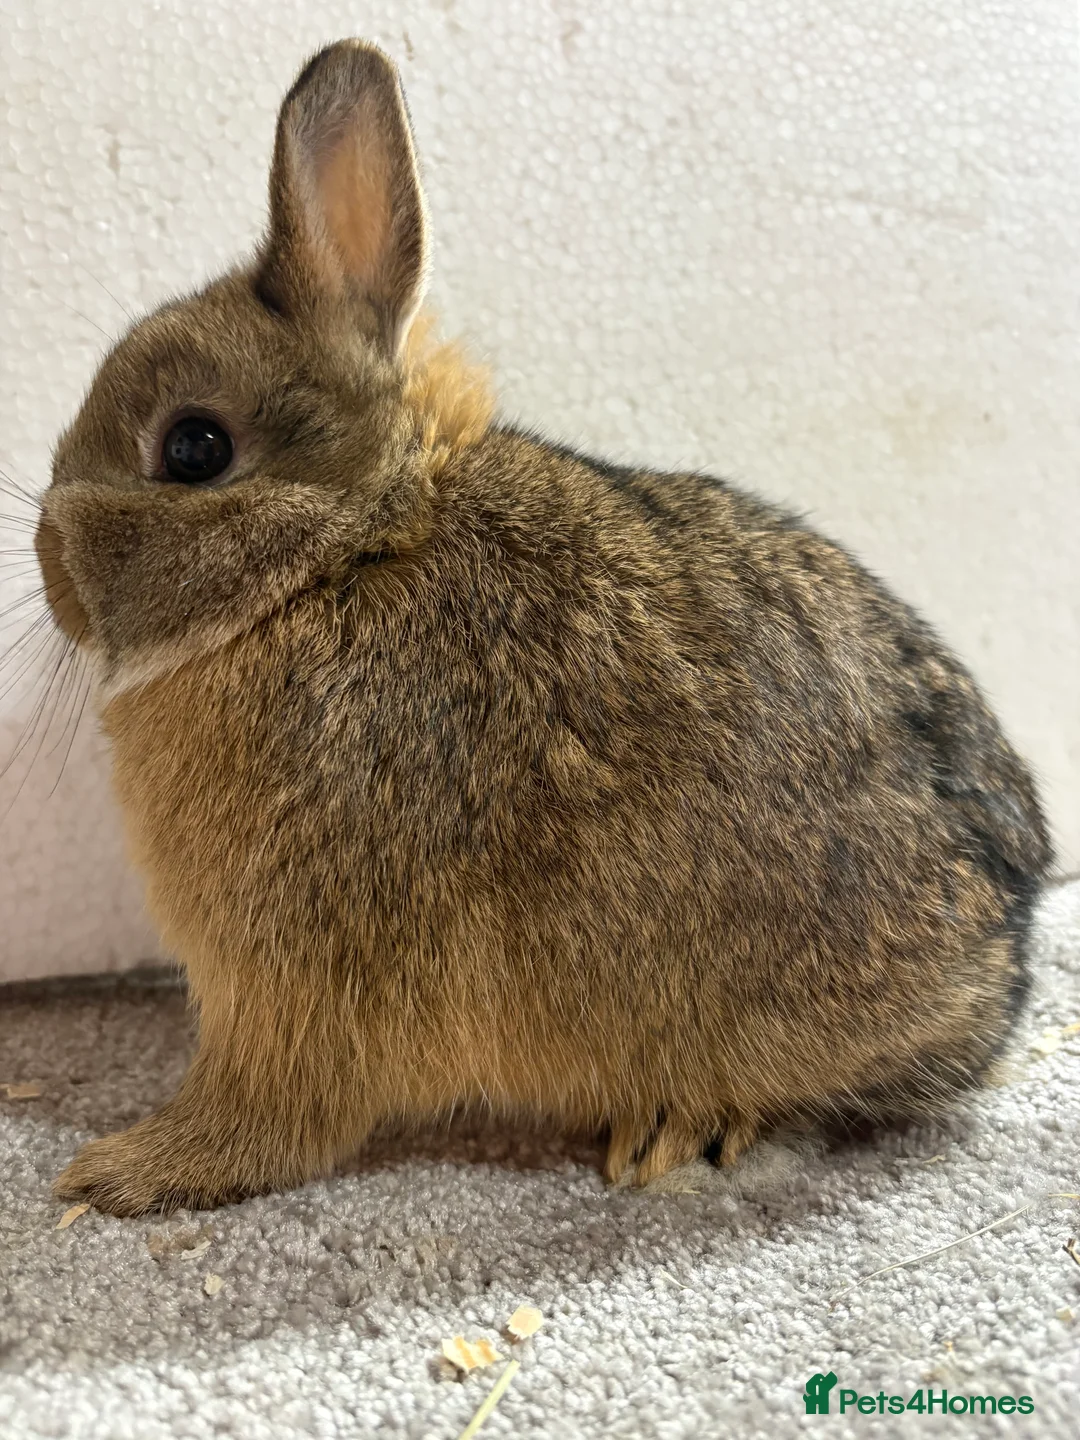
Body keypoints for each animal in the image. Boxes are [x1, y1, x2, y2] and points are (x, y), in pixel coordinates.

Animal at [34, 40, 1051, 1216]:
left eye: (193, 448)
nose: (48, 568)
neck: (343, 557)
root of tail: (1010, 945)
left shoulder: (296, 977)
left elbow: (268, 1116)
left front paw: (118, 1172)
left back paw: (679, 1127)